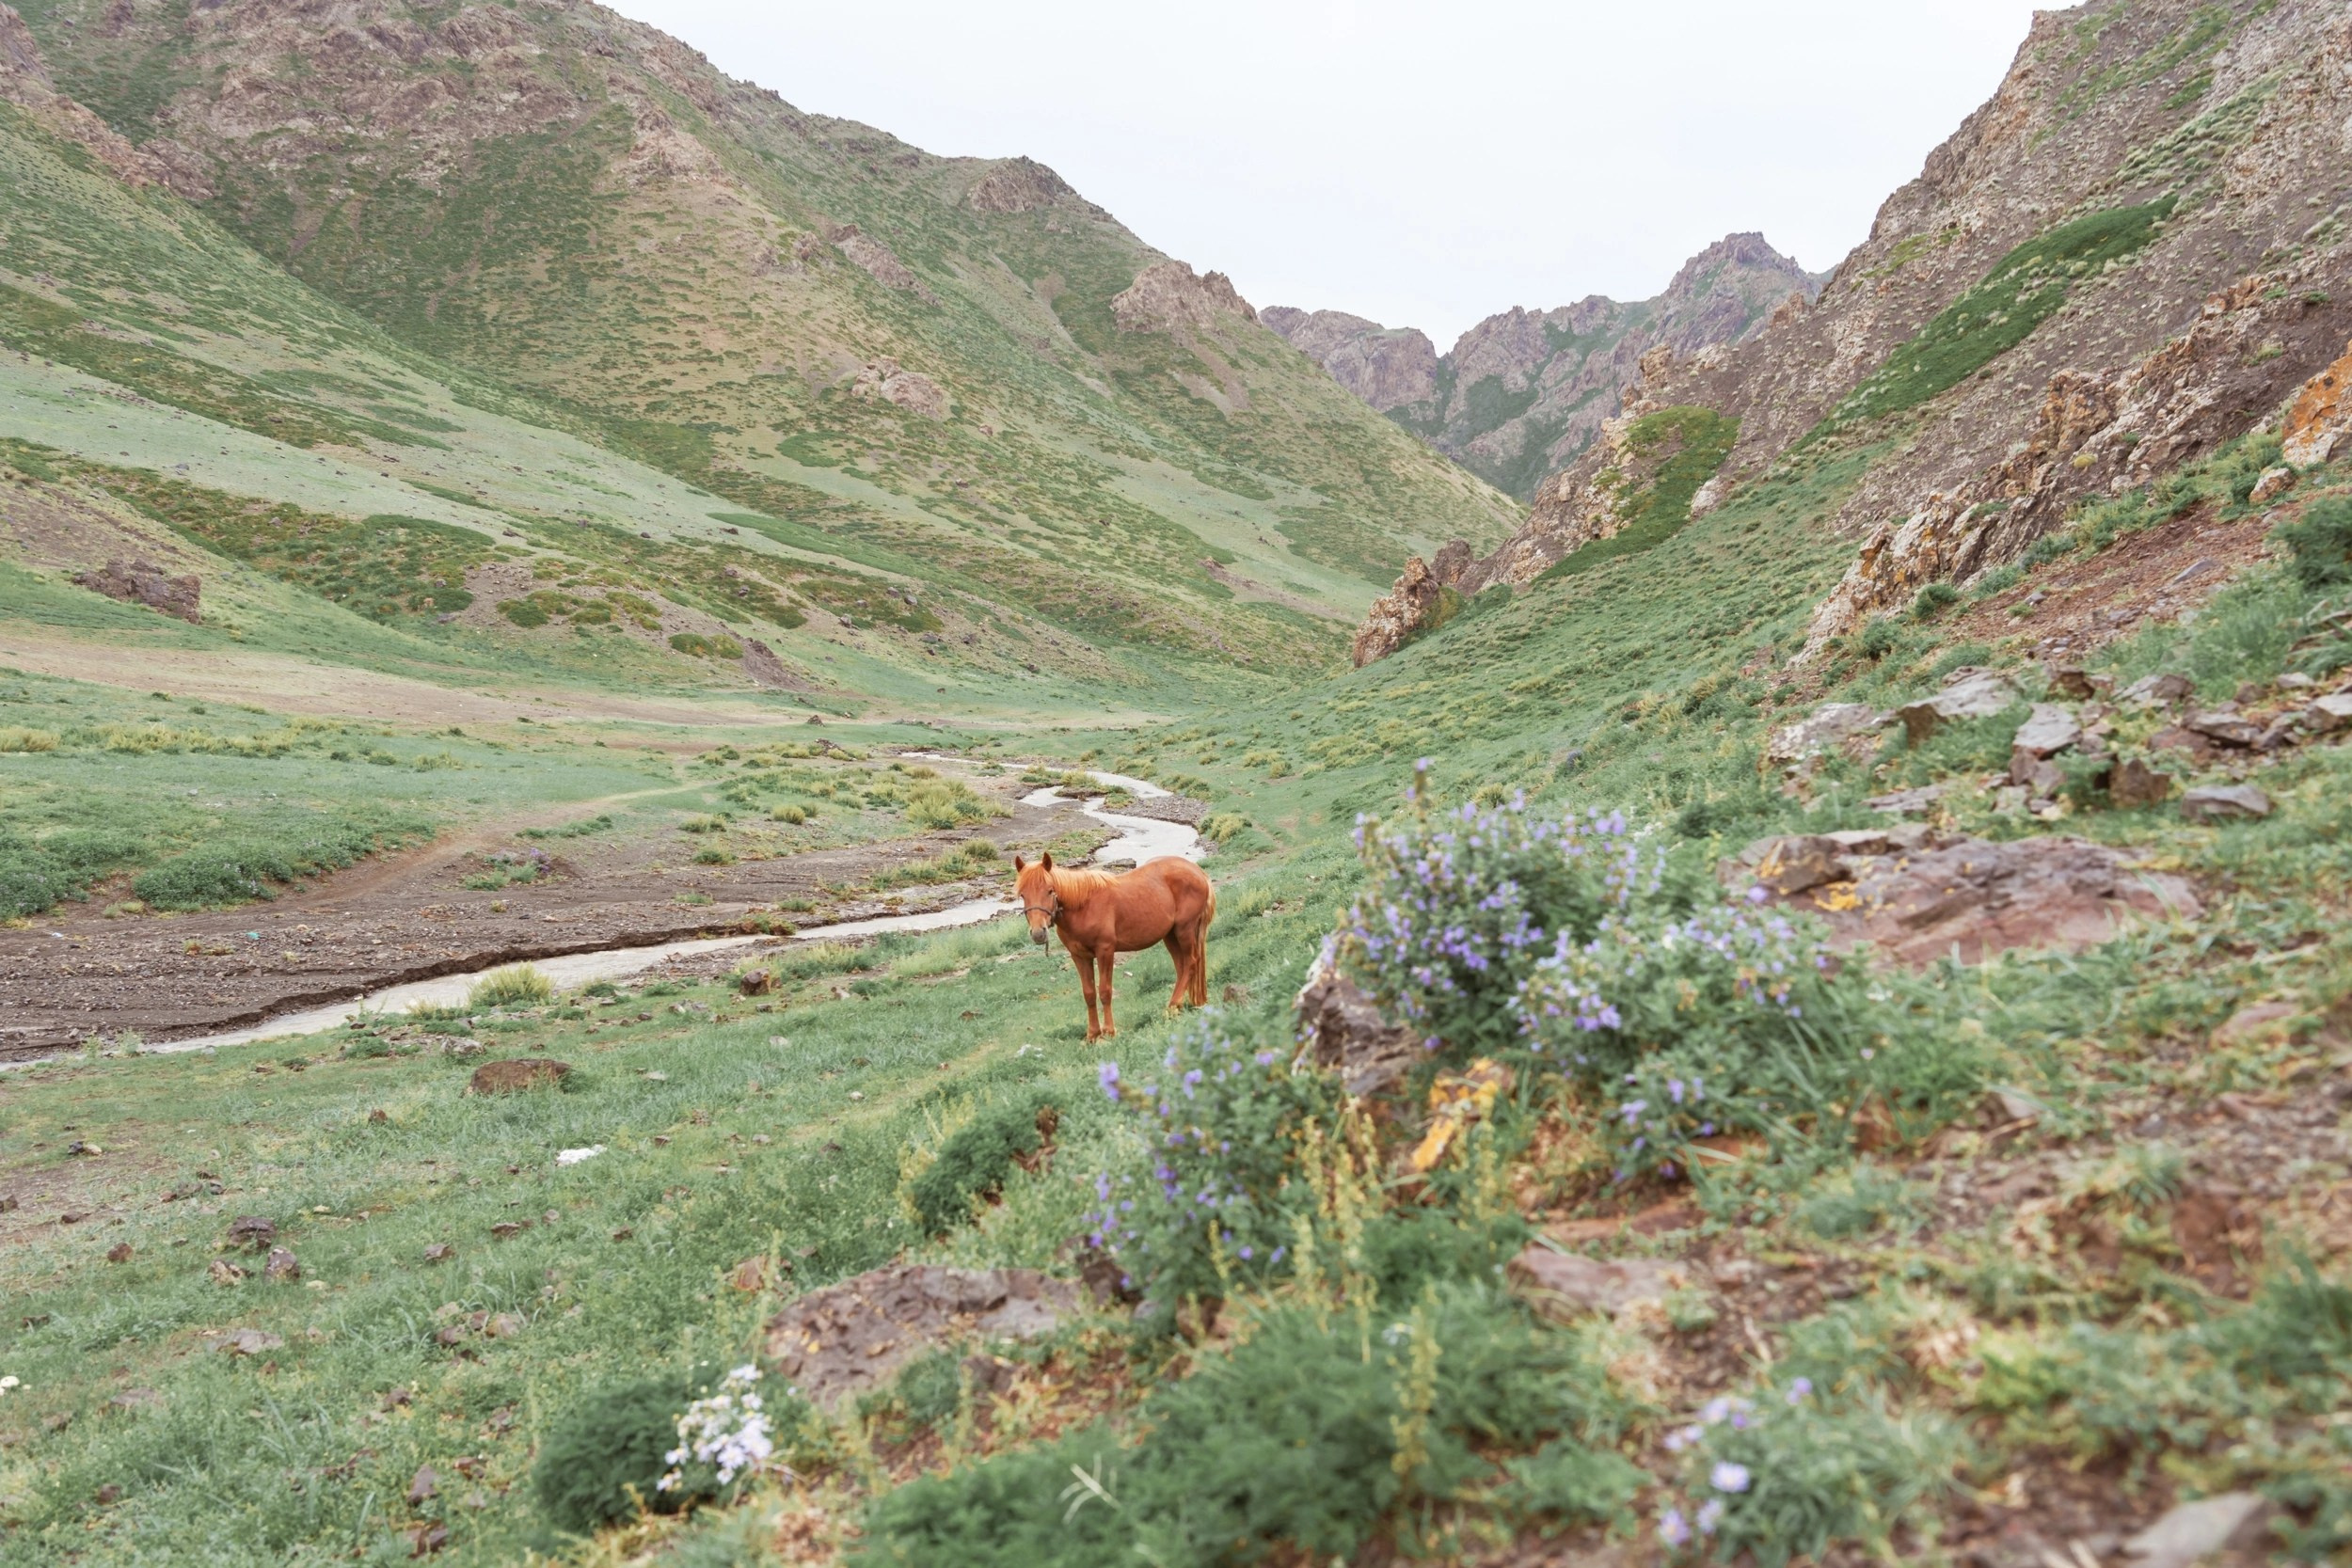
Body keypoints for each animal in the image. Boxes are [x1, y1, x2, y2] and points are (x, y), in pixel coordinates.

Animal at [1011, 851, 1214, 1042]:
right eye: (1023, 895)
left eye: (1050, 890)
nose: (1038, 933)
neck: (1084, 906)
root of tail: (1198, 872)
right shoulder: (1079, 956)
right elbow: (1089, 994)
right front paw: (1092, 1034)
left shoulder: (1105, 951)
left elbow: (1105, 991)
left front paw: (1109, 1031)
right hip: (1170, 935)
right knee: (1181, 967)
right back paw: (1176, 1005)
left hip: (1184, 930)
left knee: (1191, 963)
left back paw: (1172, 1007)